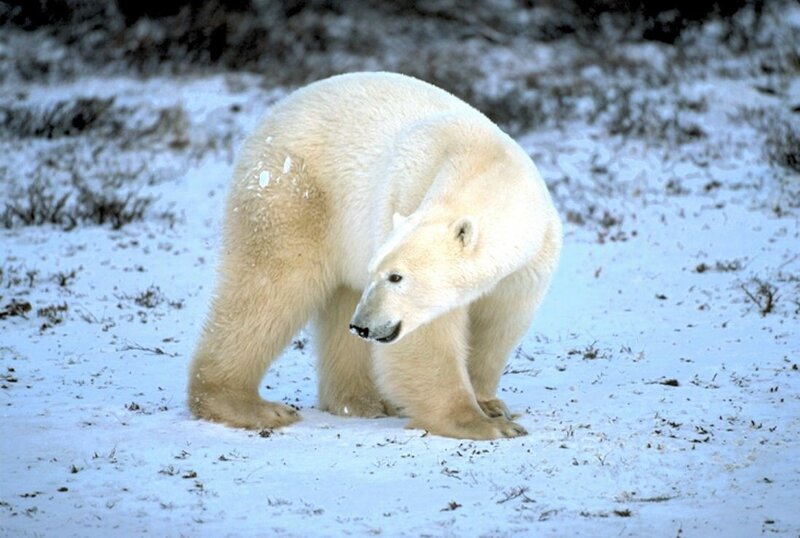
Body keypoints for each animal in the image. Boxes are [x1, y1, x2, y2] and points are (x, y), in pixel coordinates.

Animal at [188, 72, 562, 440]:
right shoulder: (407, 196)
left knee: (338, 300)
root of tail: (274, 111)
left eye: (396, 276)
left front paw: (491, 405)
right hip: (295, 192)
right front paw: (483, 423)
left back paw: (362, 400)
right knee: (271, 288)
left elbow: (498, 324)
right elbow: (427, 337)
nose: (364, 326)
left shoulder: (528, 264)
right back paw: (250, 405)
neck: (484, 160)